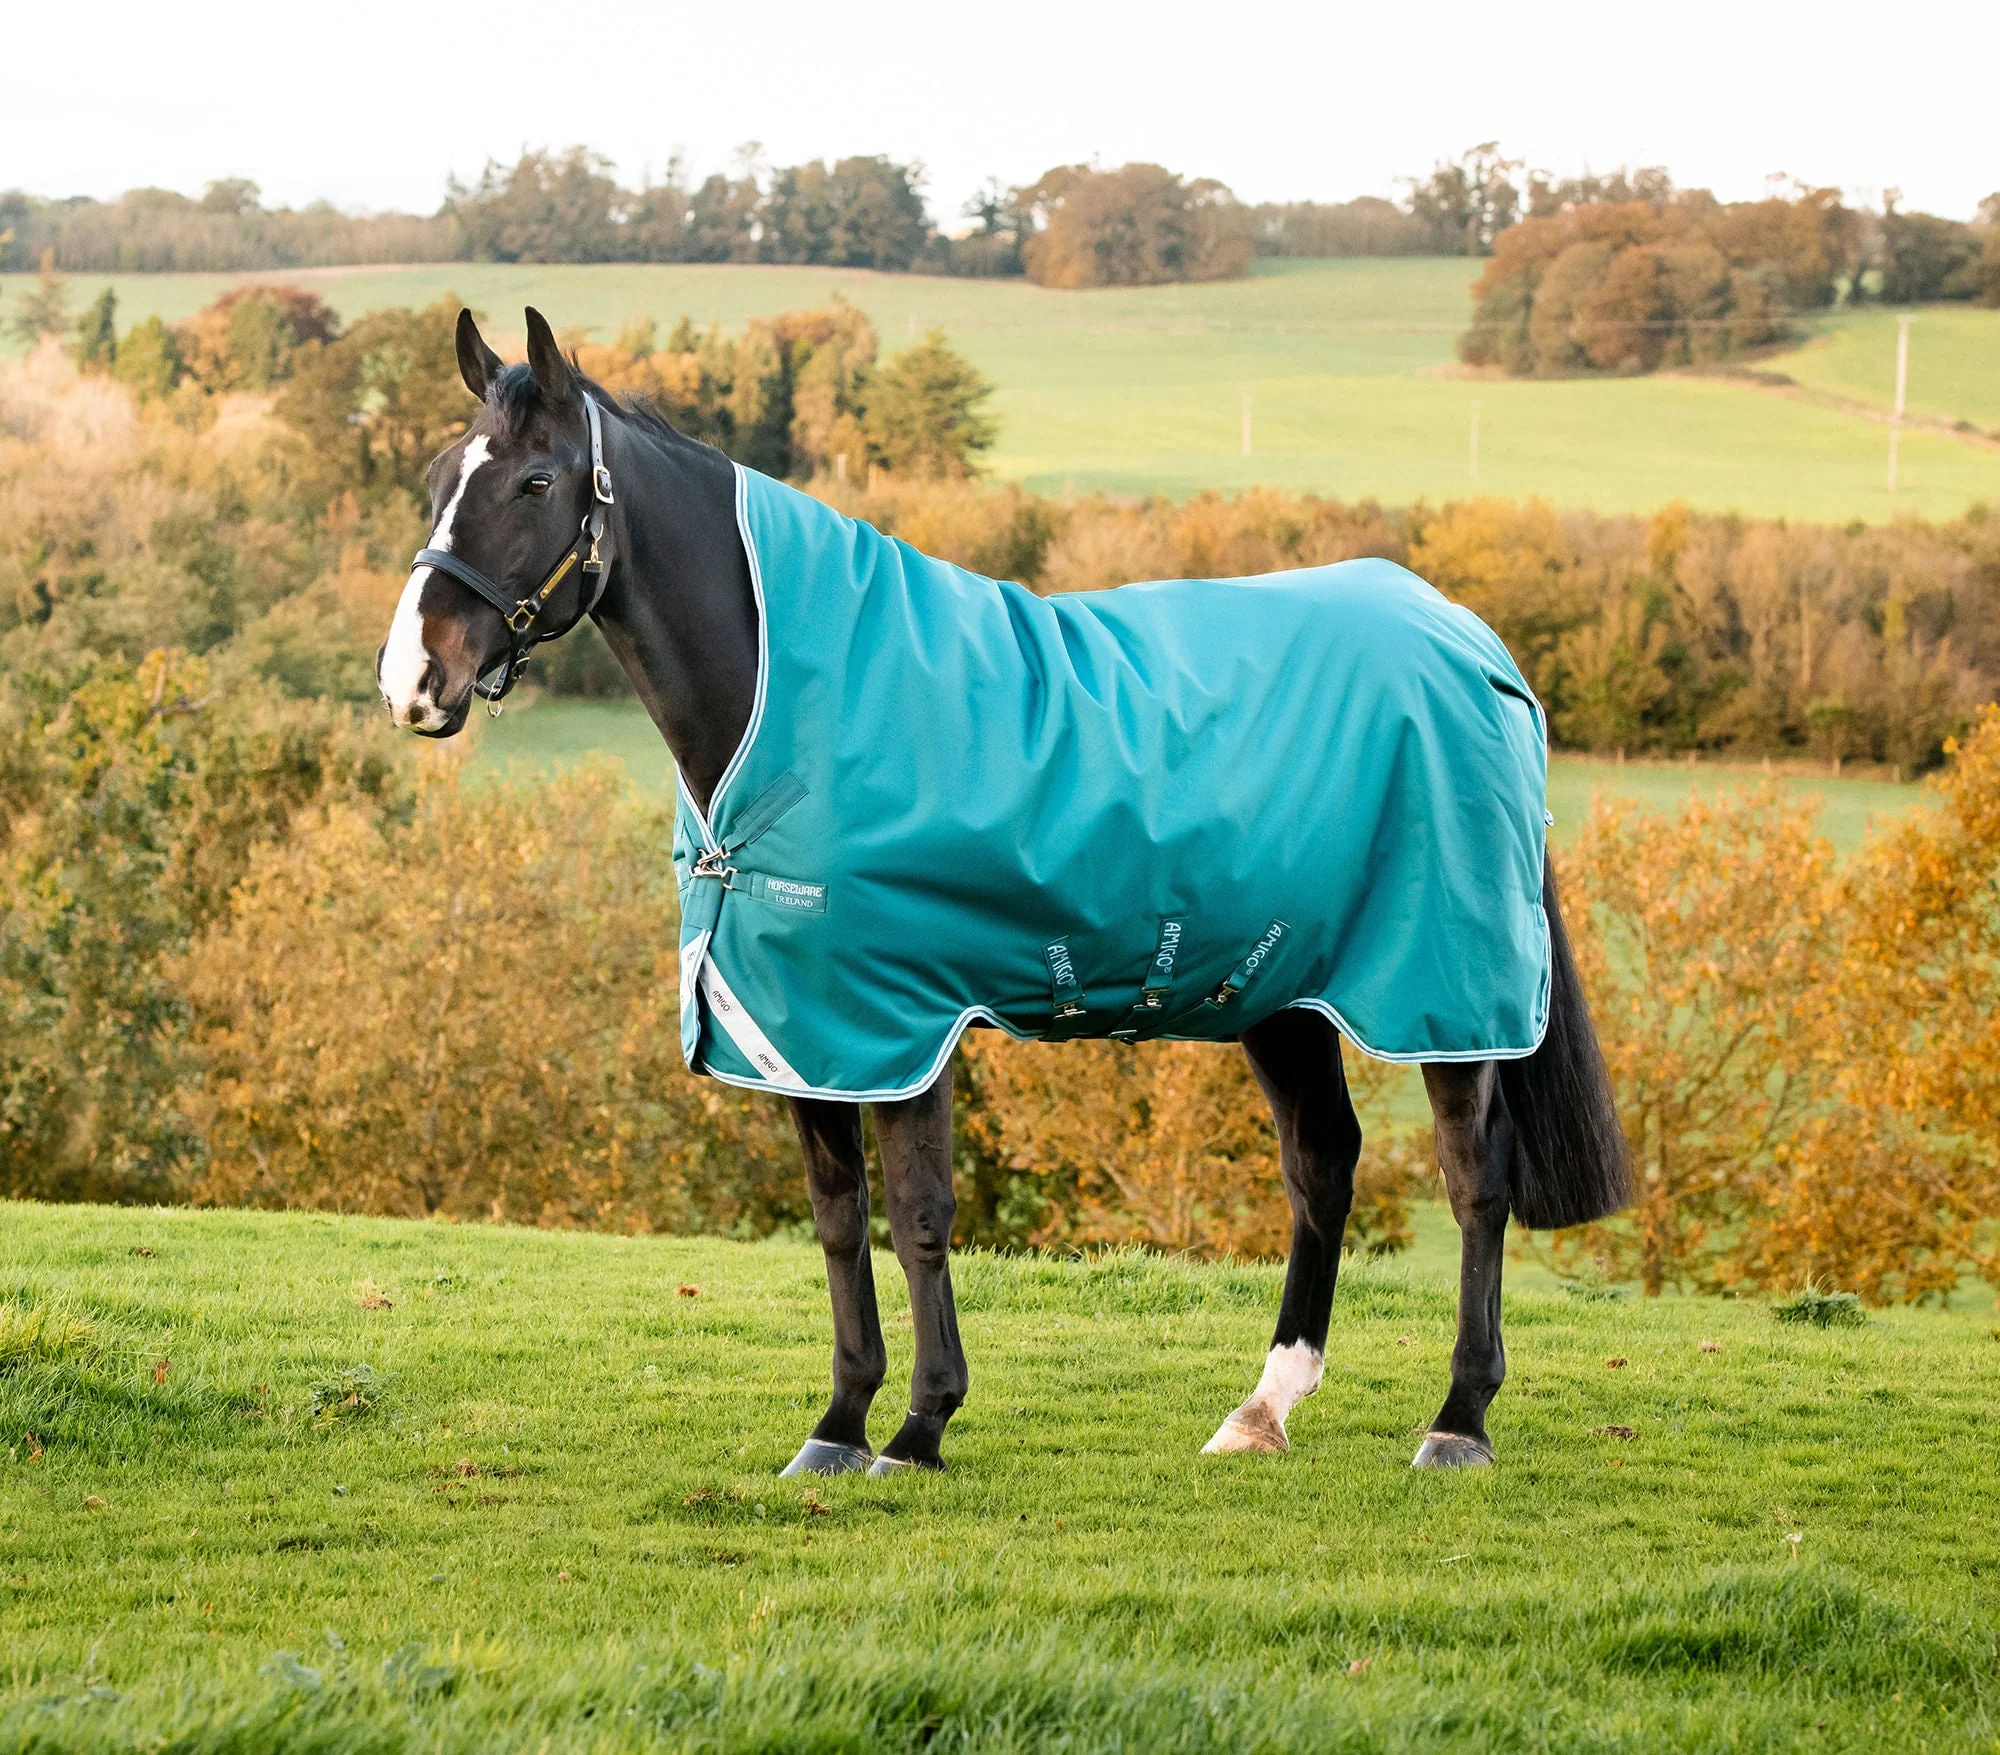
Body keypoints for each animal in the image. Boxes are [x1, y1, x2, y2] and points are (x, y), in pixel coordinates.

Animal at [377, 306, 1630, 1477]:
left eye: (536, 482)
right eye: (438, 480)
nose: (412, 682)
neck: (795, 707)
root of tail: (1466, 637)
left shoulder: (903, 1022)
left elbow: (920, 1219)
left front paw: (919, 1426)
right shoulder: (804, 1033)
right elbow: (838, 1222)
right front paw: (836, 1425)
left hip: (1443, 991)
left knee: (1476, 1180)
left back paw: (1458, 1418)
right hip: (1278, 990)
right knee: (1321, 1165)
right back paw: (1261, 1411)